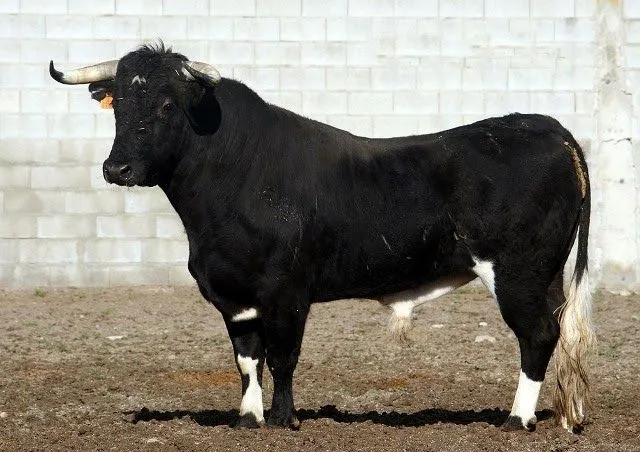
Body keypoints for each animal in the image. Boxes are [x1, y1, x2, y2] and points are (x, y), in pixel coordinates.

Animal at [50, 44, 596, 432]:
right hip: (546, 274)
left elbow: (282, 356)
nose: (117, 168)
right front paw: (248, 419)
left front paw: (284, 419)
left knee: (536, 336)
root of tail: (545, 126)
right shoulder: (233, 294)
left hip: (518, 272)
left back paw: (516, 420)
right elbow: (247, 358)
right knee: (554, 332)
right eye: (118, 104)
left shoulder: (287, 291)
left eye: (166, 105)